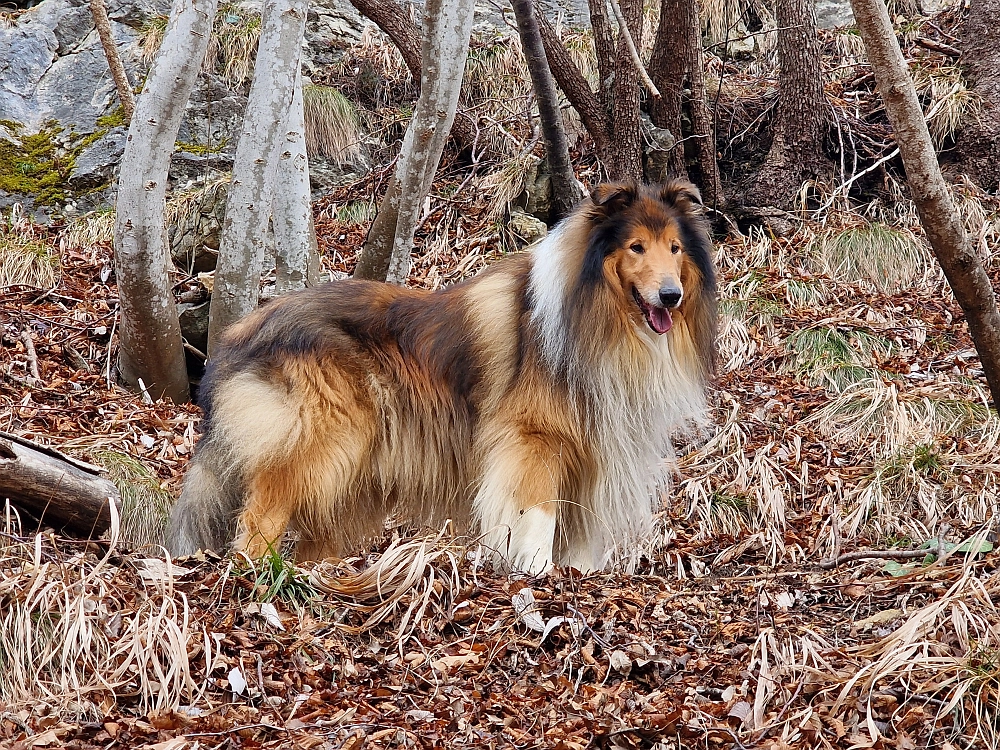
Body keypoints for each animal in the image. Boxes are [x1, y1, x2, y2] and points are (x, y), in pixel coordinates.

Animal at [170, 182, 720, 576]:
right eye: (636, 247)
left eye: (675, 248)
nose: (670, 296)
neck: (594, 316)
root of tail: (240, 331)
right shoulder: (533, 440)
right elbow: (537, 514)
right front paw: (535, 572)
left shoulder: (595, 448)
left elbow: (579, 530)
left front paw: (577, 577)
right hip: (317, 443)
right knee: (257, 520)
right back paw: (258, 576)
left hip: (349, 481)